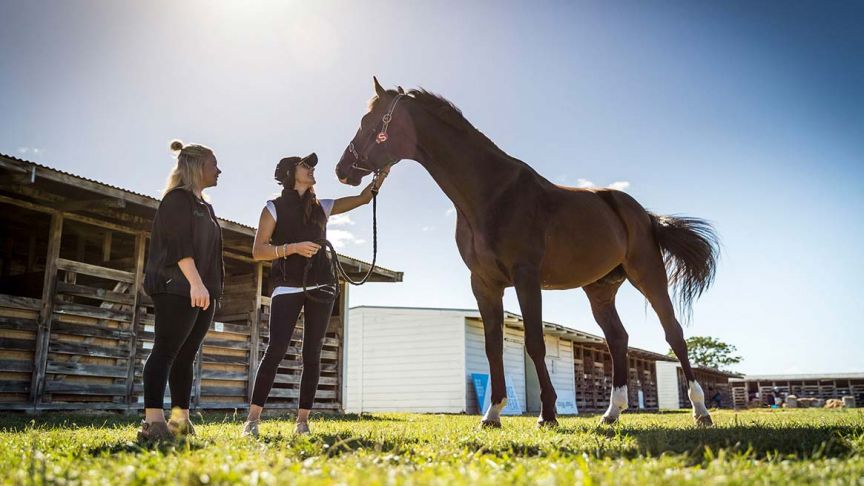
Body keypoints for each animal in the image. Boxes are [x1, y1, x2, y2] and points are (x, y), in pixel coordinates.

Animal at [334, 78, 720, 428]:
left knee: (674, 334)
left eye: (370, 122)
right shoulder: (484, 283)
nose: (342, 170)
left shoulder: (525, 277)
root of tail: (643, 214)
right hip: (600, 289)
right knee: (617, 339)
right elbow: (493, 347)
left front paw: (547, 414)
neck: (492, 194)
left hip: (648, 275)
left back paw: (701, 411)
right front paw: (491, 415)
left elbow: (534, 342)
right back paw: (611, 414)